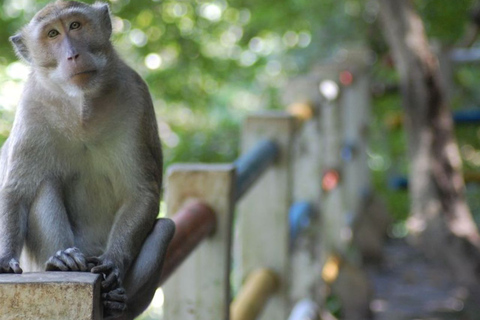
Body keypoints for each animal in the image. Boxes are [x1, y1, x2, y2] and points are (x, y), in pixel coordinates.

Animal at [0, 1, 175, 318]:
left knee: (166, 228)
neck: (81, 105)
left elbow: (141, 193)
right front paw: (5, 259)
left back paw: (115, 302)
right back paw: (61, 262)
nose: (73, 54)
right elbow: (16, 190)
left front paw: (113, 264)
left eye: (75, 26)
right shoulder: (32, 104)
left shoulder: (136, 96)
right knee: (42, 185)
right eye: (53, 34)